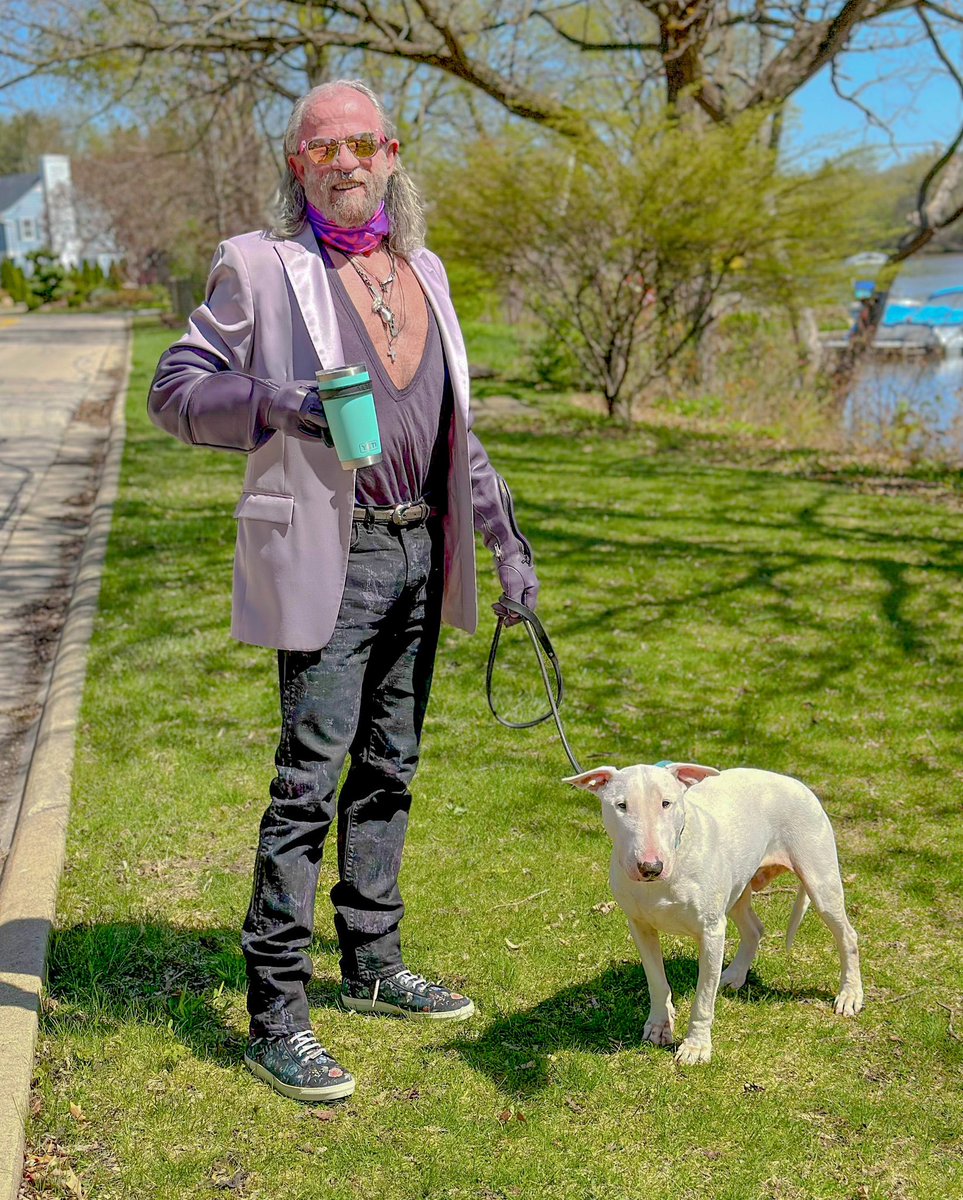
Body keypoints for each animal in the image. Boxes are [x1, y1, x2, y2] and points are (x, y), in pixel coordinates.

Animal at [561, 763, 864, 1065]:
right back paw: (734, 976)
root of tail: (795, 783)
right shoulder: (640, 926)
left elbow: (703, 997)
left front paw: (696, 1047)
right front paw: (659, 1026)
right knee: (754, 928)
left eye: (666, 803)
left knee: (847, 935)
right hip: (739, 887)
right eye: (621, 805)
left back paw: (849, 995)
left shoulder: (711, 931)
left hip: (820, 880)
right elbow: (657, 981)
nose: (651, 867)